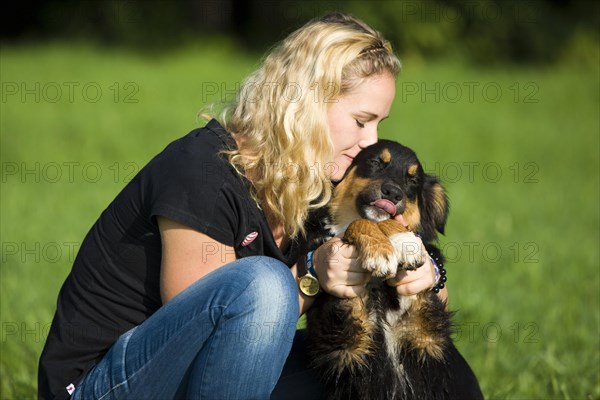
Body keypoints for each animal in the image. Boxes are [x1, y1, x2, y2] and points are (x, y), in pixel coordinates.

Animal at [304, 140, 482, 400]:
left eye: (413, 180)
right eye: (375, 162)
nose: (393, 193)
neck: (379, 287)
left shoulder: (425, 333)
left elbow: (391, 221)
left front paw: (403, 241)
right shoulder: (347, 337)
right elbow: (359, 222)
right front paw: (379, 249)